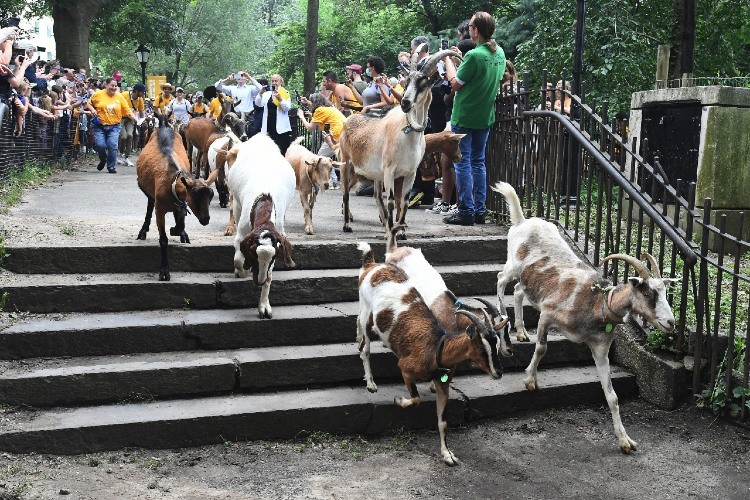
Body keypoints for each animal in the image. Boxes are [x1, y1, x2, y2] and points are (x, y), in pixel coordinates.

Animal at [136, 126, 219, 282]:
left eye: (210, 196)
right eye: (195, 196)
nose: (206, 219)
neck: (172, 182)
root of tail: (163, 126)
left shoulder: (182, 205)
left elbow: (181, 224)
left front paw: (177, 231)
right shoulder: (160, 210)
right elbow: (163, 240)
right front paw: (164, 272)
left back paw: (182, 234)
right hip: (149, 193)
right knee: (150, 204)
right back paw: (143, 231)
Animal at [226, 133, 296, 318]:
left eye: (274, 257)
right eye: (253, 253)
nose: (259, 281)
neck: (265, 197)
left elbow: (270, 276)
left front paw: (264, 305)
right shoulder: (242, 234)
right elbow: (238, 259)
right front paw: (242, 271)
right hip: (236, 203)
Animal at [340, 49, 458, 249]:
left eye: (424, 83)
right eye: (407, 81)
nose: (405, 103)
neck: (407, 134)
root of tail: (349, 119)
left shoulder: (409, 173)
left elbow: (403, 201)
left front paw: (401, 232)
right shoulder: (390, 171)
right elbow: (391, 202)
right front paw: (392, 236)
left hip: (375, 174)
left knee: (376, 196)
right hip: (346, 164)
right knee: (346, 193)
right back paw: (347, 225)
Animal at [358, 242, 506, 464]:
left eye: (496, 344)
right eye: (482, 347)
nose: (499, 372)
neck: (437, 347)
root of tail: (373, 265)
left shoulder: (443, 383)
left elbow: (442, 421)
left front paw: (448, 454)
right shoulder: (405, 369)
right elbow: (416, 399)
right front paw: (398, 400)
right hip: (366, 310)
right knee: (364, 346)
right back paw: (370, 383)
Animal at [494, 182, 680, 456]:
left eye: (665, 292)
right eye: (647, 293)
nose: (671, 323)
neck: (598, 302)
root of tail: (522, 221)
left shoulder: (601, 349)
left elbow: (612, 396)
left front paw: (625, 441)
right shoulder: (548, 314)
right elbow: (542, 348)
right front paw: (530, 380)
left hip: (527, 279)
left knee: (517, 290)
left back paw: (520, 330)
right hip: (513, 265)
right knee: (500, 279)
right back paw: (502, 319)